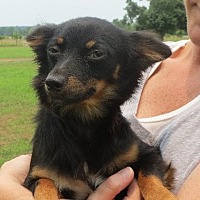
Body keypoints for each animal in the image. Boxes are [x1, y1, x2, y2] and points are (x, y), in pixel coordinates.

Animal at [23, 17, 177, 200]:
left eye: (96, 53)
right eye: (53, 50)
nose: (51, 82)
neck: (84, 121)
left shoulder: (149, 154)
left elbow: (150, 178)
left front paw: (164, 195)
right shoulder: (36, 174)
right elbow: (44, 184)